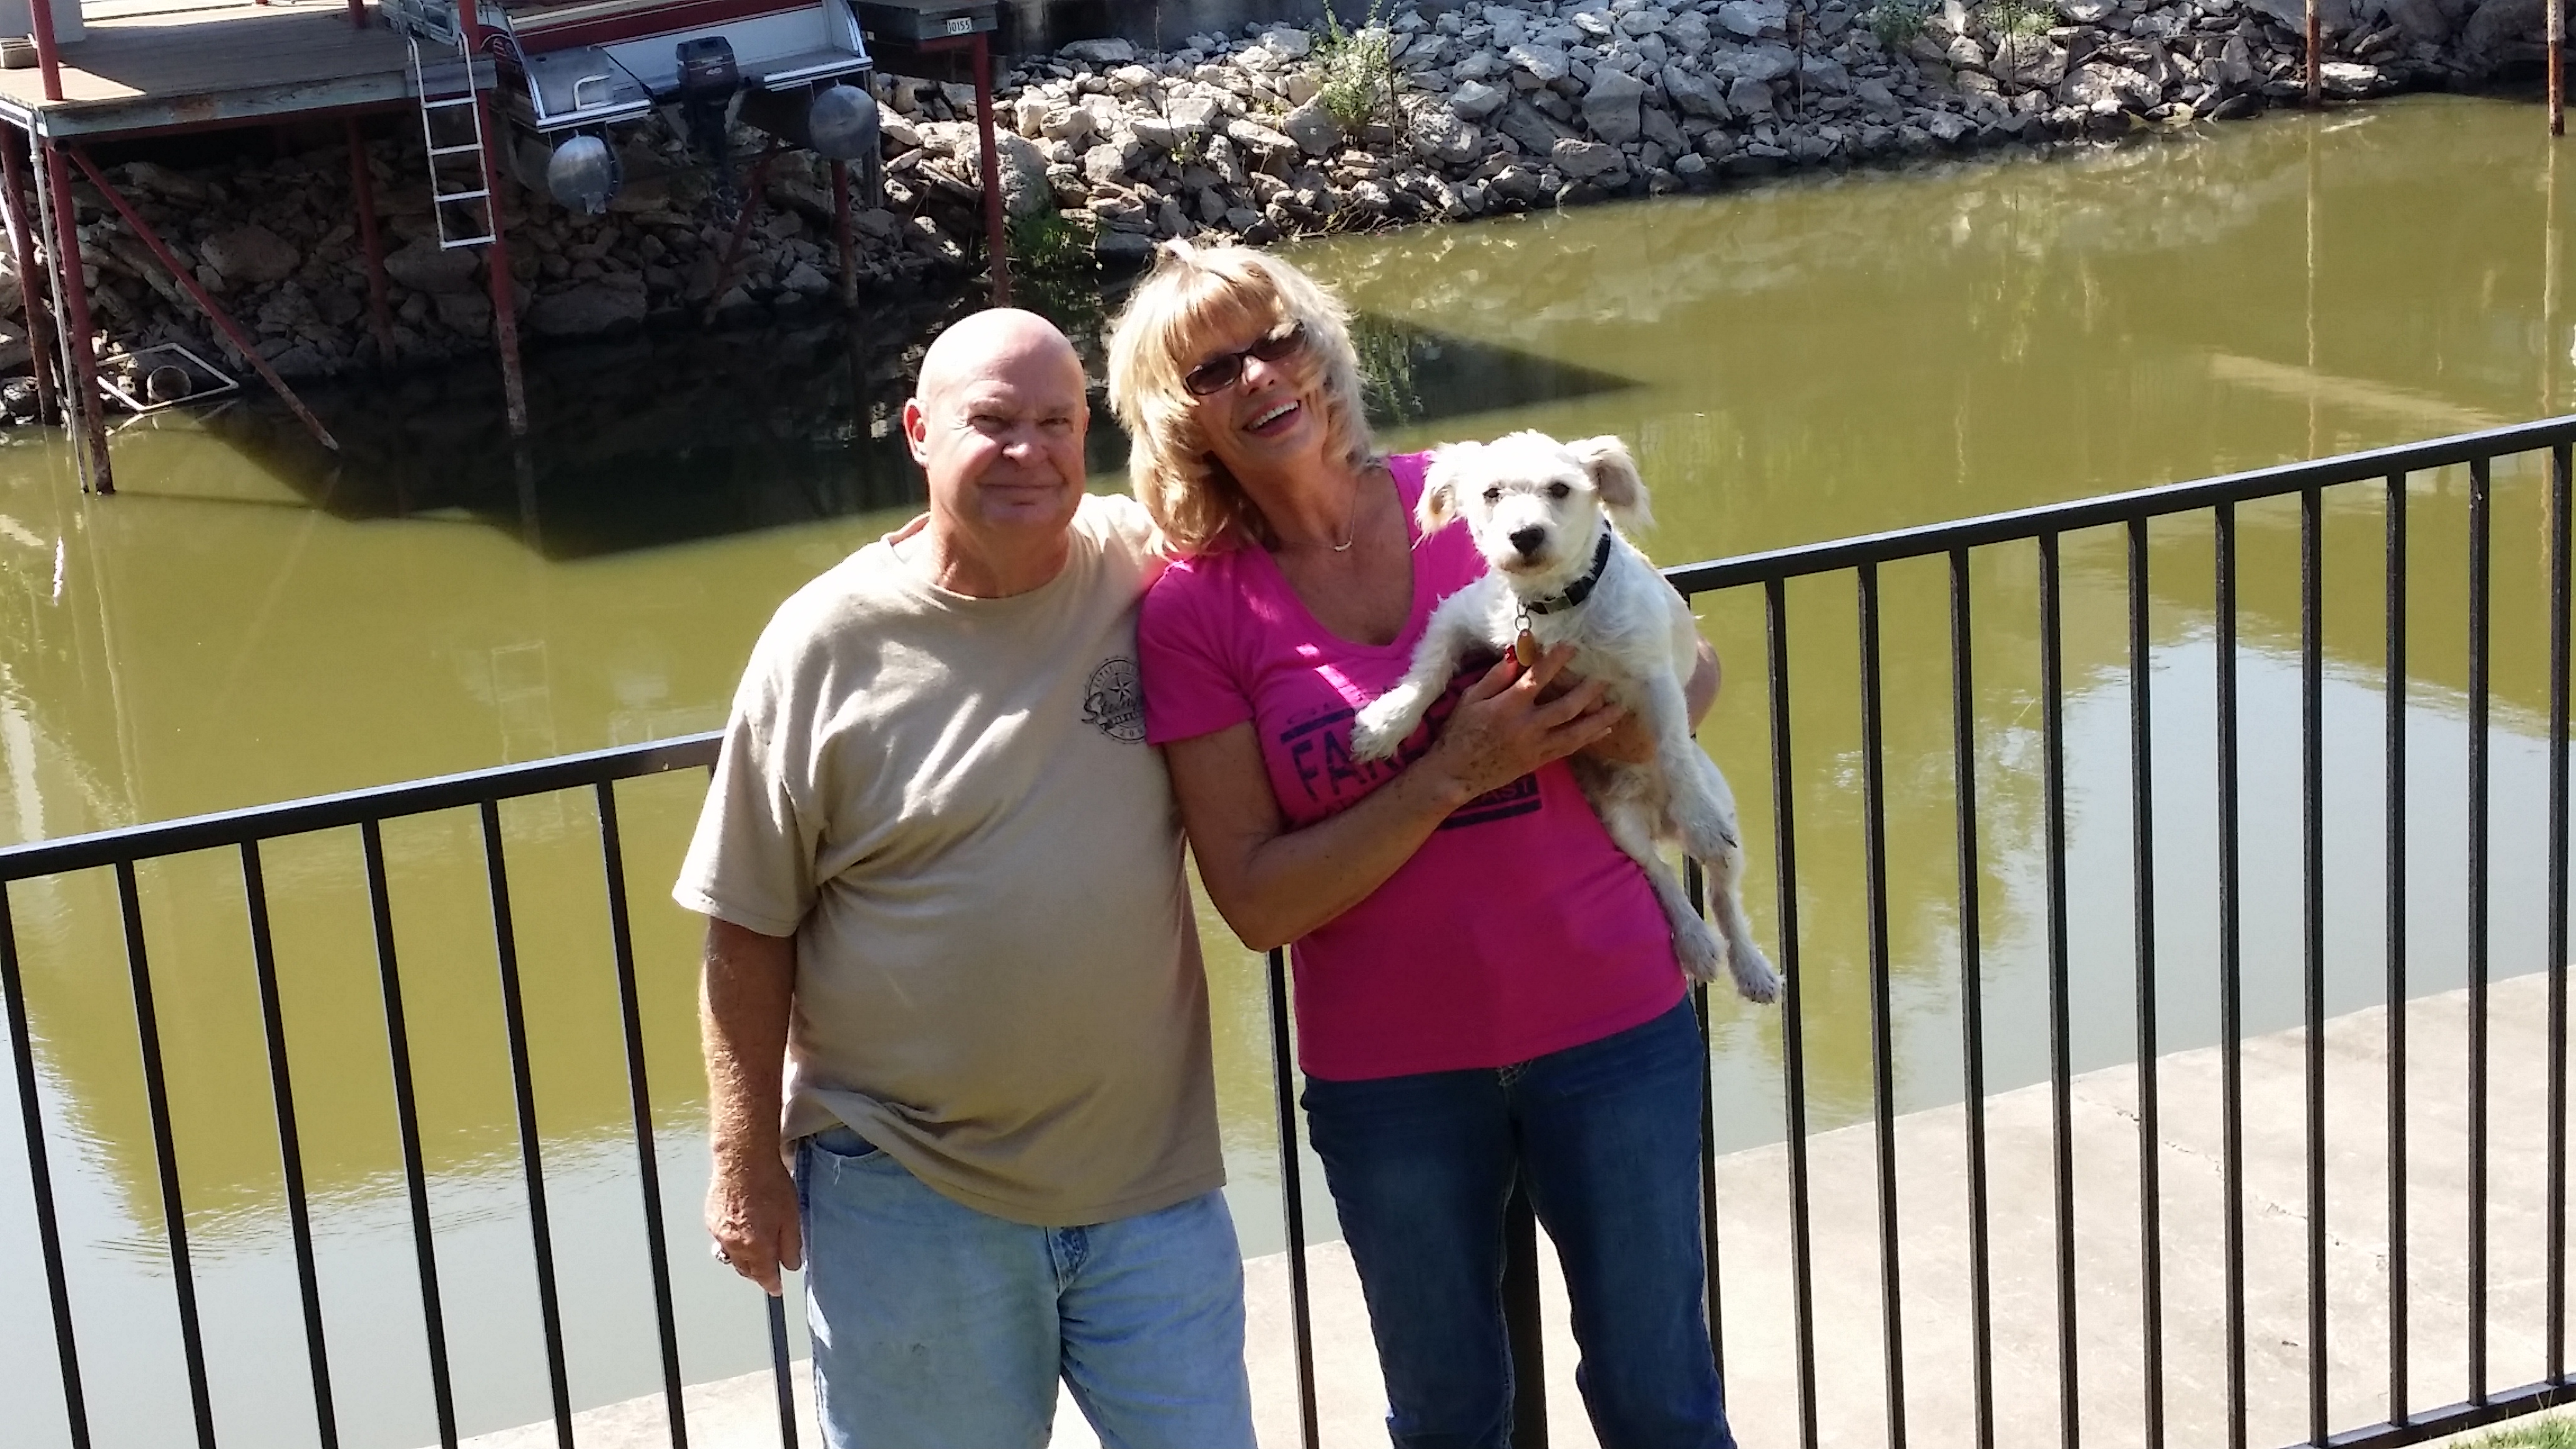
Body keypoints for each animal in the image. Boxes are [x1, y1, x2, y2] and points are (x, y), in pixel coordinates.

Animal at [1350, 430, 1781, 1004]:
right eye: (1491, 493)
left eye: (1560, 489)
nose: (1526, 535)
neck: (1555, 606)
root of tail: (1655, 813)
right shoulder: (1458, 618)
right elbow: (1428, 671)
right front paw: (1386, 723)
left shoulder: (1655, 676)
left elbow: (1673, 749)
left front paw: (1700, 821)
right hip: (1617, 821)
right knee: (1660, 873)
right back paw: (1694, 944)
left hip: (1725, 818)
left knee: (1723, 894)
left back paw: (1750, 966)